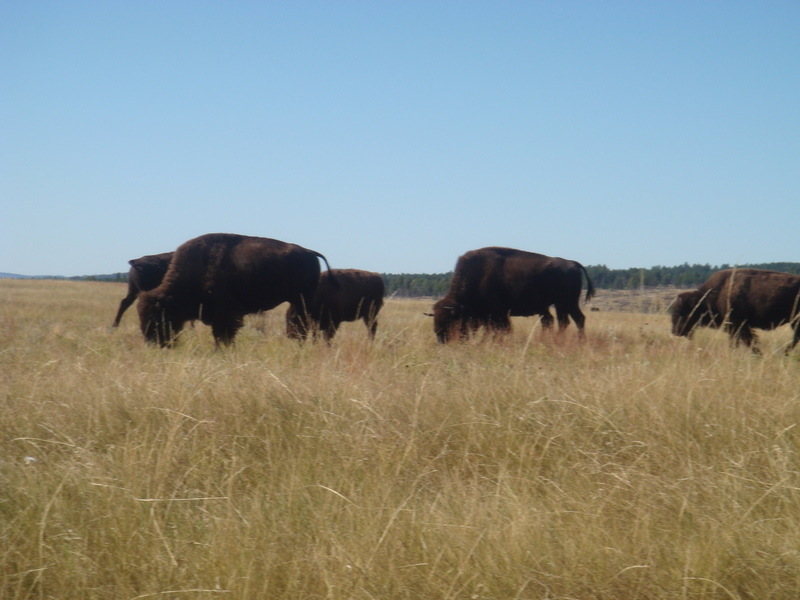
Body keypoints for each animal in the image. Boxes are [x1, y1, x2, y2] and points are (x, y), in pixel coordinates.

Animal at [139, 233, 332, 346]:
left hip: (300, 300)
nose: (152, 342)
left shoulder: (225, 315)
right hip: (297, 301)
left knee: (300, 323)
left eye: (156, 317)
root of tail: (310, 253)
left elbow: (223, 334)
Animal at [432, 246, 592, 342]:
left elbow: (501, 328)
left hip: (566, 302)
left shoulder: (498, 313)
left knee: (574, 319)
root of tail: (572, 263)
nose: (441, 340)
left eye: (451, 321)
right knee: (562, 321)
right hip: (559, 305)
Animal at [668, 268, 800, 352]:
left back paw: (785, 352)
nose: (675, 331)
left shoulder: (739, 326)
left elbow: (748, 342)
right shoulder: (736, 328)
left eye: (681, 312)